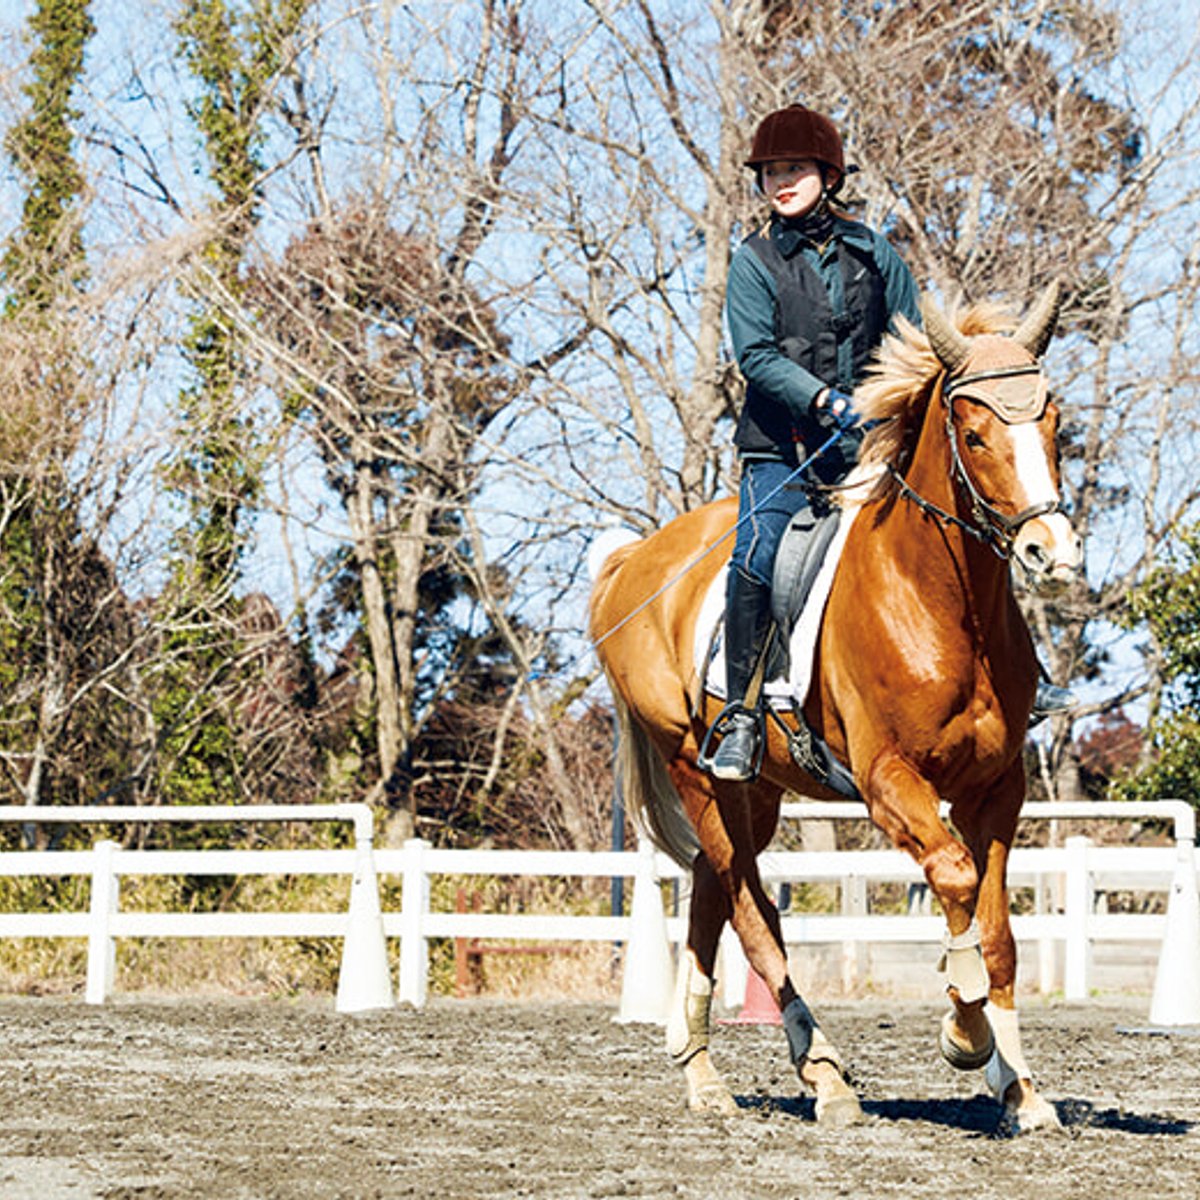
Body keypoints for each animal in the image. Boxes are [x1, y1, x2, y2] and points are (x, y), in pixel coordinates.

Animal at [588, 283, 1083, 1133]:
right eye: (975, 433)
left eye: (1052, 423)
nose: (1050, 551)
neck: (942, 602)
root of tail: (635, 560)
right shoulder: (889, 782)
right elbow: (953, 879)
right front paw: (965, 1033)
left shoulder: (997, 790)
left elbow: (998, 934)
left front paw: (1021, 1091)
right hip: (694, 768)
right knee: (751, 912)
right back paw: (821, 1074)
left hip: (750, 791)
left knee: (716, 893)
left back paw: (702, 1071)